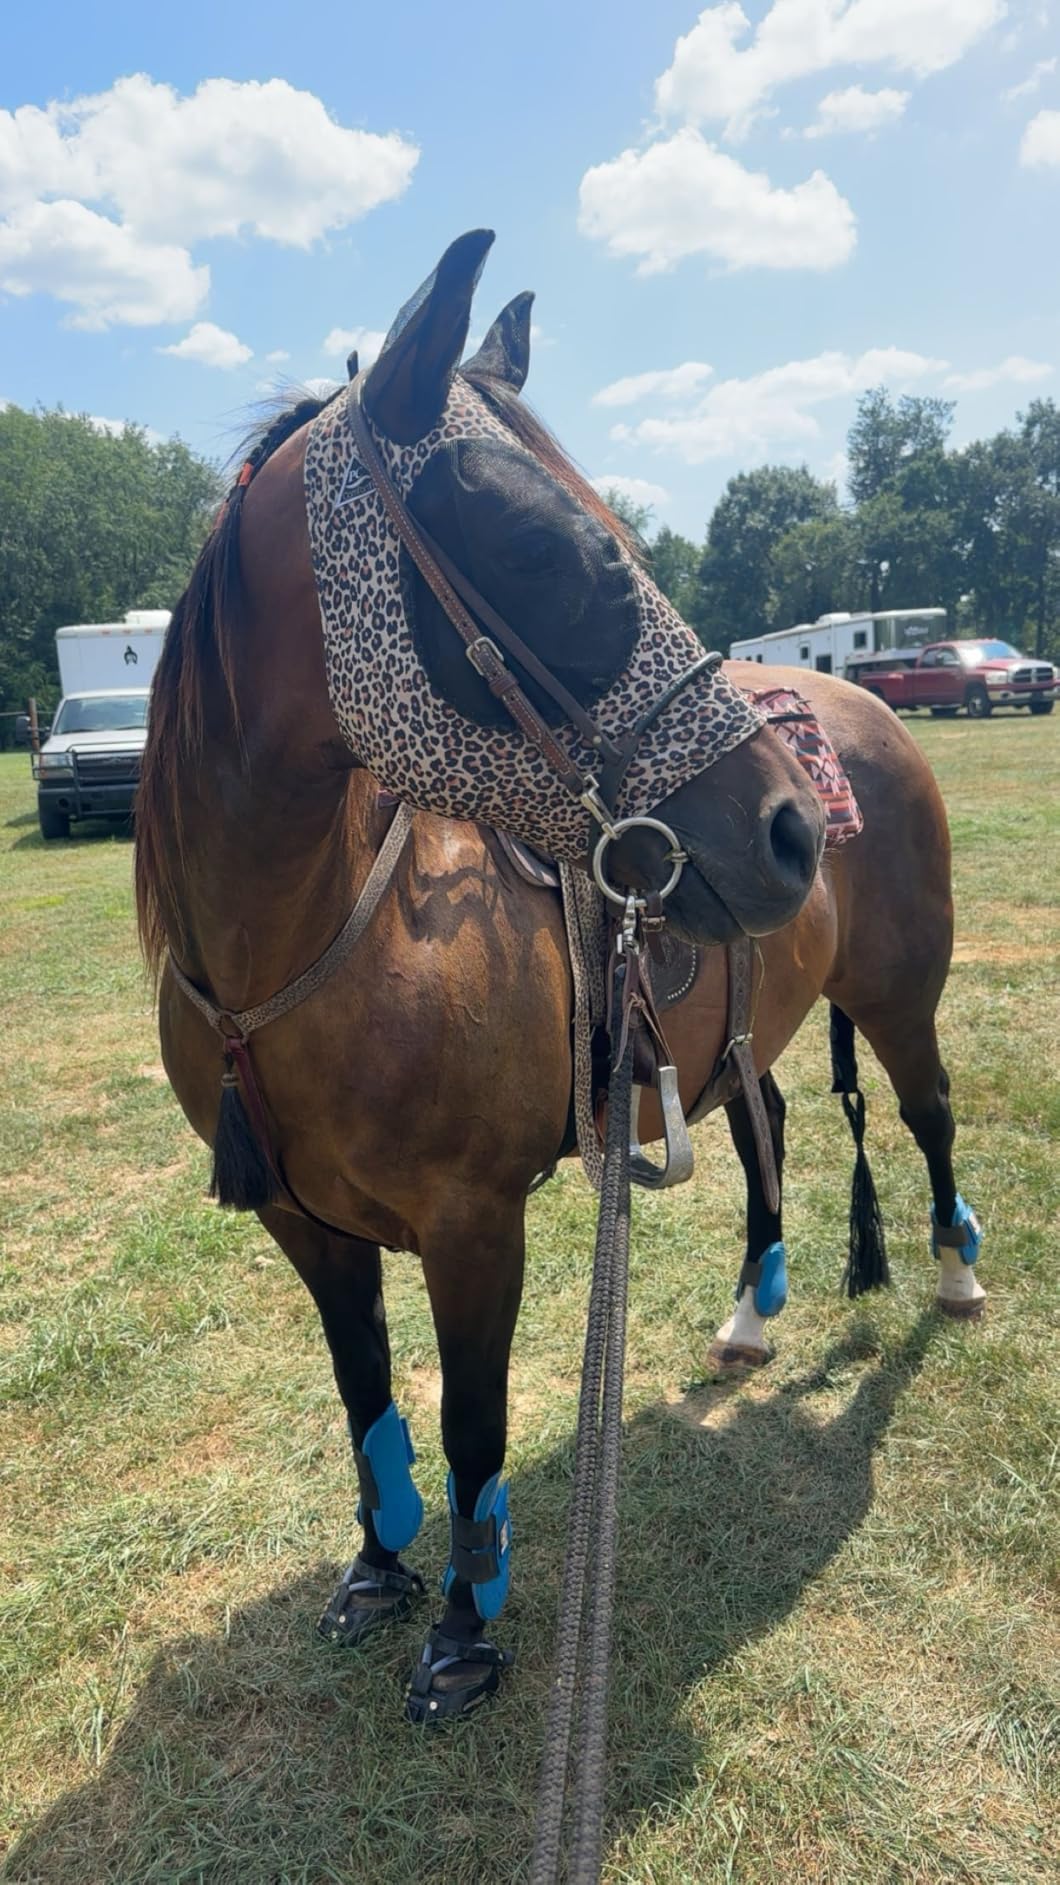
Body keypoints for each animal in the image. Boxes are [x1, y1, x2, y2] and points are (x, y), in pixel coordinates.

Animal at [134, 232, 980, 1724]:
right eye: (544, 549)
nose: (787, 830)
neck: (308, 949)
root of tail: (863, 709)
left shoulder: (475, 1224)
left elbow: (472, 1418)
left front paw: (465, 1631)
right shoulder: (305, 1224)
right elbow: (364, 1388)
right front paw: (378, 1565)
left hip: (899, 1001)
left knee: (928, 1119)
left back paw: (953, 1274)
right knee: (767, 1136)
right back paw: (751, 1313)